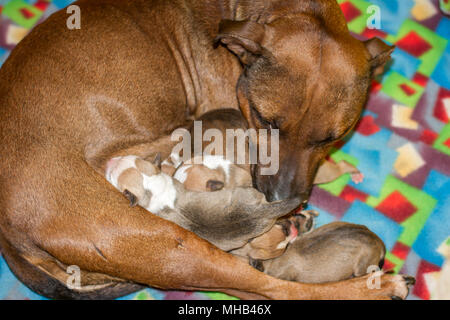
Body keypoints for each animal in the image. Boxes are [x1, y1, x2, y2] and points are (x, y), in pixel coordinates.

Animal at [0, 0, 414, 300]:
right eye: (265, 120)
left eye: (331, 138)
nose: (283, 200)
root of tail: (10, 237)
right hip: (171, 247)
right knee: (274, 289)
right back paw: (376, 286)